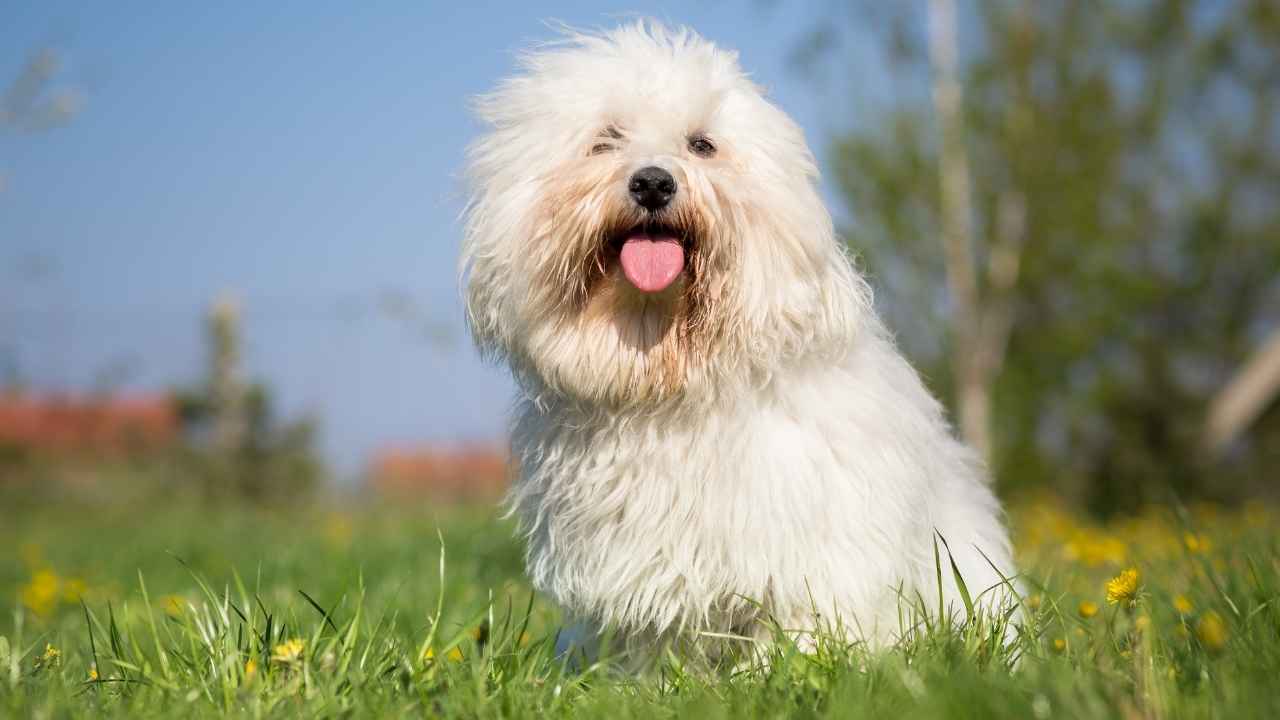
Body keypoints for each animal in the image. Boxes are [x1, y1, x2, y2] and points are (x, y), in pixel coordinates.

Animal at [460, 20, 1008, 661]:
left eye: (702, 145)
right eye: (607, 139)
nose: (652, 182)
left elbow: (801, 630)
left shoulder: (810, 552)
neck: (668, 376)